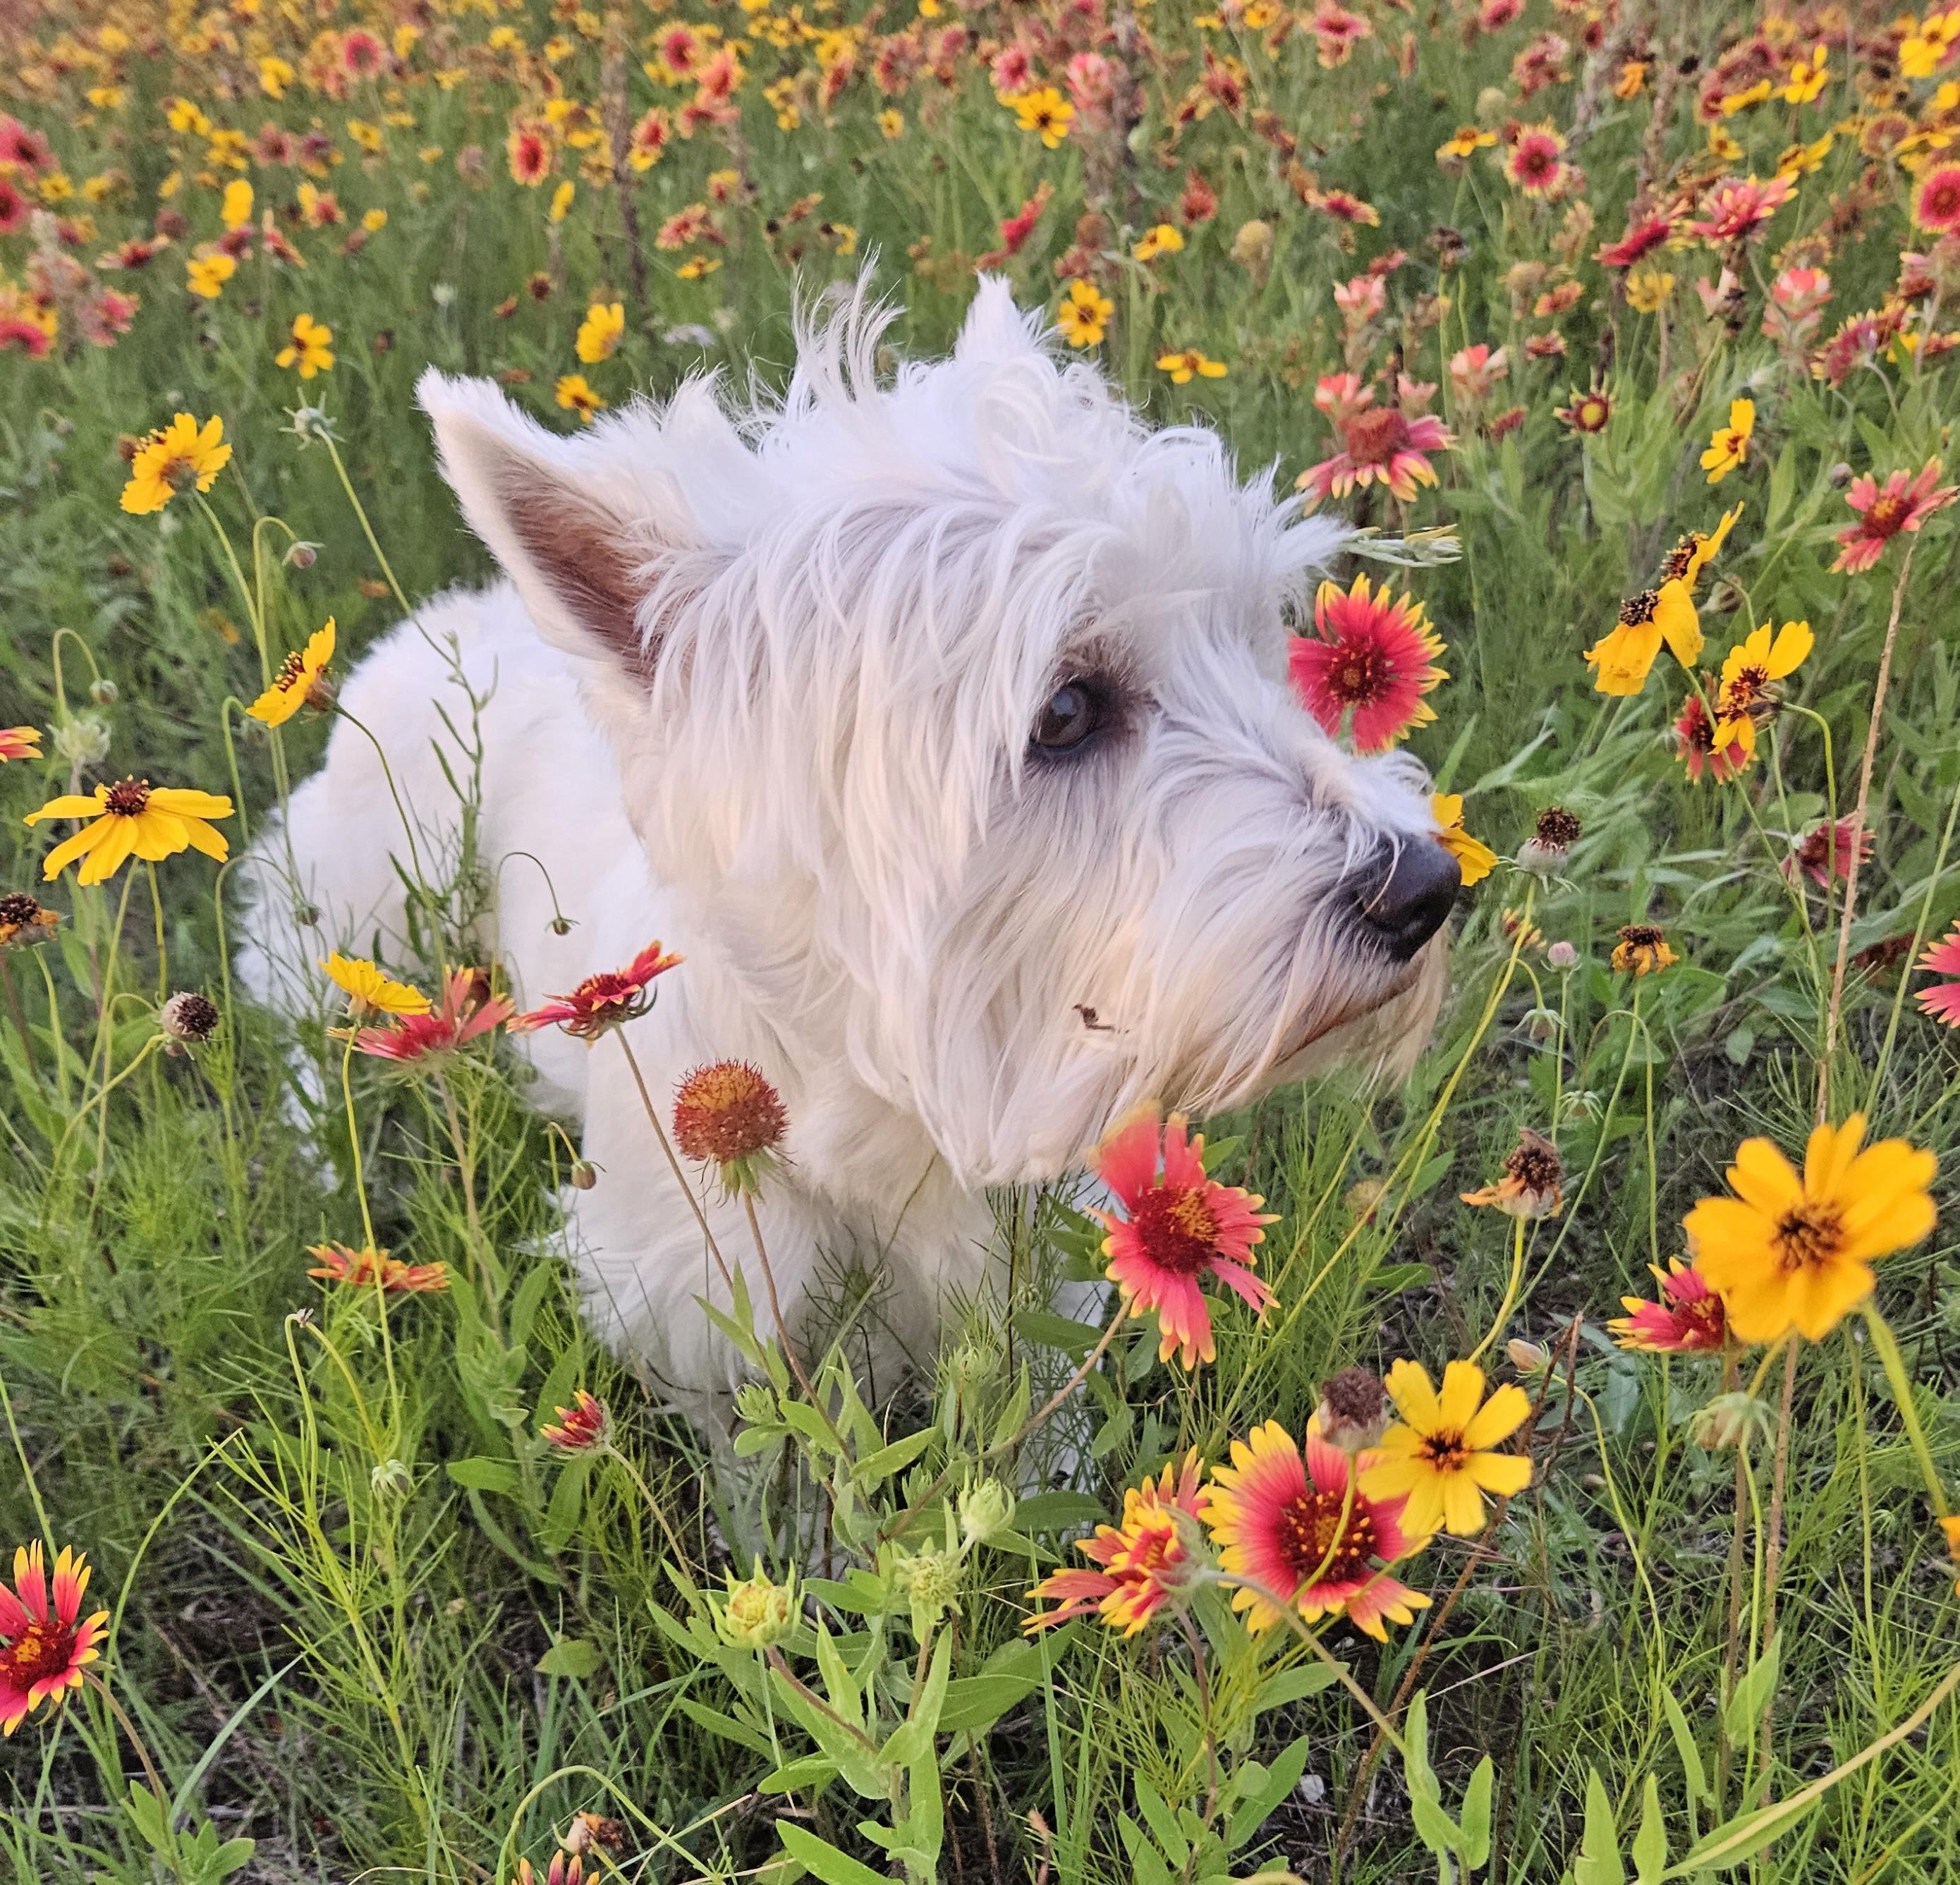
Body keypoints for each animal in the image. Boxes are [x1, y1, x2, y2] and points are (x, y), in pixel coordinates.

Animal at [237, 278, 1456, 1425]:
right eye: (1063, 710)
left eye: (1255, 639)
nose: (1426, 889)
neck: (884, 1109)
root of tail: (429, 626)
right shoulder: (706, 1311)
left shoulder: (1032, 1290)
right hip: (361, 911)